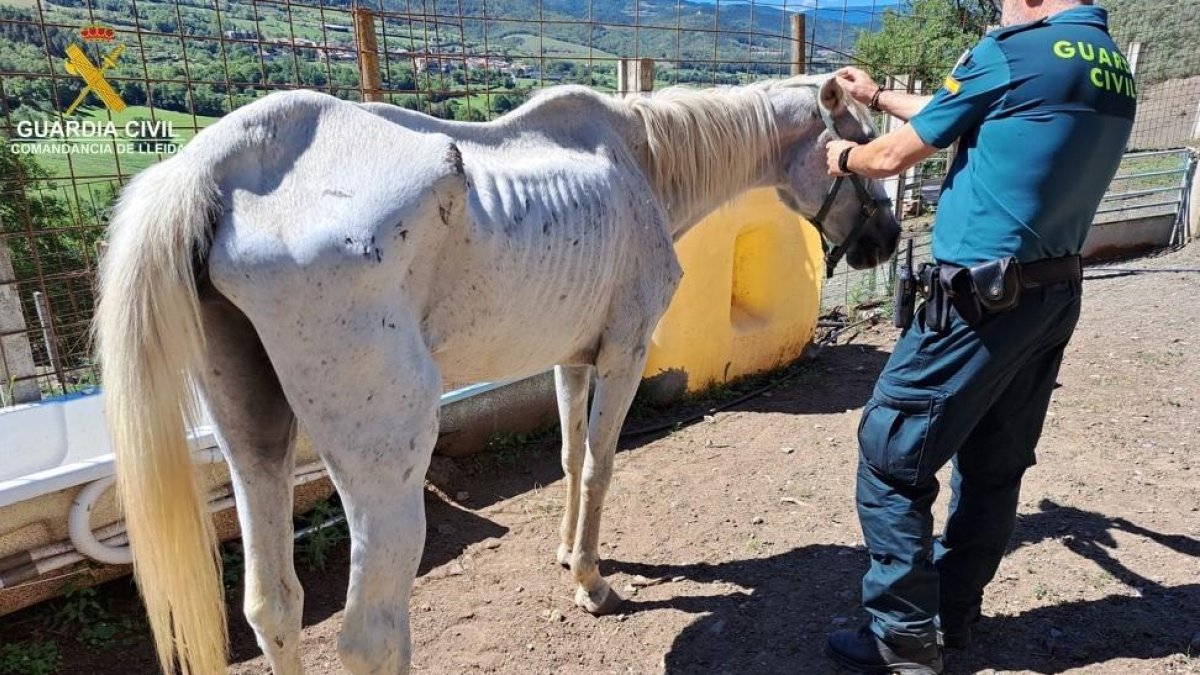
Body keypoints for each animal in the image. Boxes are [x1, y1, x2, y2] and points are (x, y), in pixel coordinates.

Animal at [93, 74, 897, 672]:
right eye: (859, 146)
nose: (886, 239)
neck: (639, 161)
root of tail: (221, 164)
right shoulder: (624, 352)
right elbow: (601, 464)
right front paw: (591, 583)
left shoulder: (572, 358)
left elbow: (569, 456)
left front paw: (568, 552)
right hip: (386, 464)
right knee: (371, 638)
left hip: (254, 440)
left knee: (272, 606)